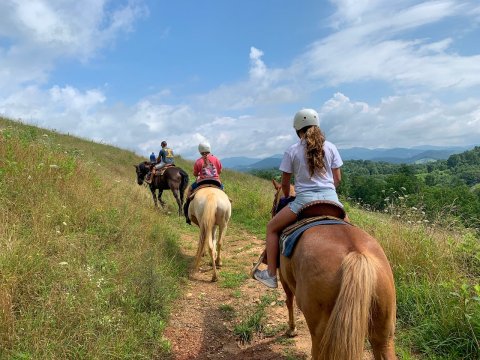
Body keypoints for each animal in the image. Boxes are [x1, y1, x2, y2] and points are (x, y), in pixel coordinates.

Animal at [270, 180, 398, 360]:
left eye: (275, 195)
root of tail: (357, 254)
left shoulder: (284, 278)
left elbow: (288, 302)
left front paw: (291, 329)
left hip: (319, 332)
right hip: (384, 334)